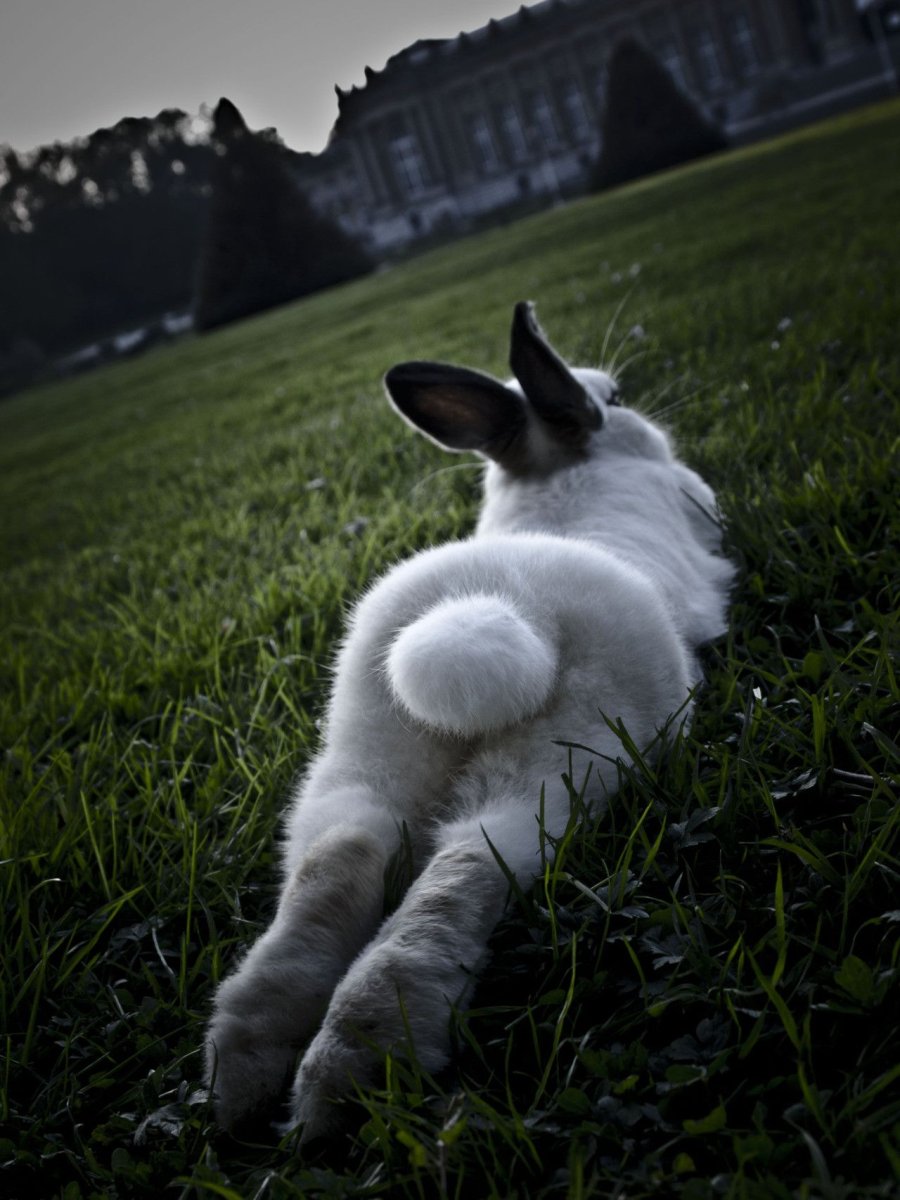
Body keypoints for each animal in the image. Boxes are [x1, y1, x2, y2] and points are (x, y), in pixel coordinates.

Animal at [204, 301, 735, 1141]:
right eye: (614, 398)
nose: (632, 408)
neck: (558, 474)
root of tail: (494, 601)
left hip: (364, 746)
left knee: (344, 852)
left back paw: (251, 1067)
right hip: (572, 754)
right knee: (465, 865)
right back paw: (359, 1066)